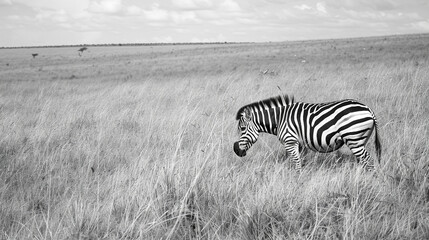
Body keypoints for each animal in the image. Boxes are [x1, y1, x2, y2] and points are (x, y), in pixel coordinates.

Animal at [234, 94, 382, 172]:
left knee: (368, 160)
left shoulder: (290, 141)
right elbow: (301, 161)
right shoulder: (300, 144)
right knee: (363, 161)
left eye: (242, 128)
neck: (279, 119)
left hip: (354, 139)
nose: (236, 151)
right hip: (360, 140)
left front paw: (297, 181)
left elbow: (297, 163)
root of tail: (368, 109)